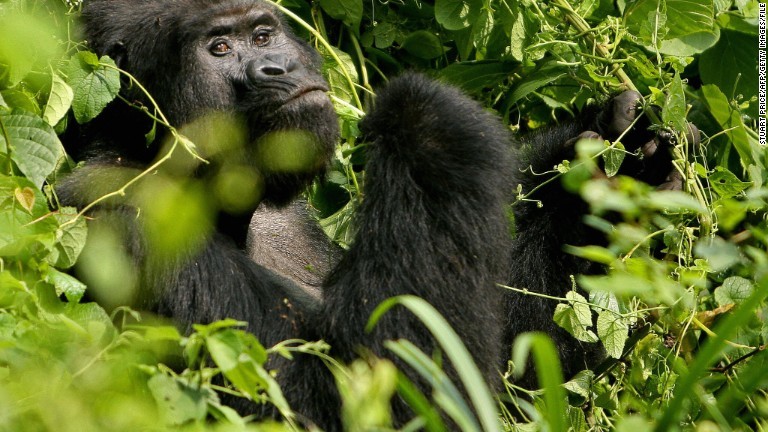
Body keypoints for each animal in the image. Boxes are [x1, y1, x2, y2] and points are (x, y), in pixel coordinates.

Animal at [55, 0, 688, 426]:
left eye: (262, 34)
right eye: (219, 49)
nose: (277, 69)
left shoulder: (289, 217)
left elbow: (520, 382)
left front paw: (601, 187)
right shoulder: (119, 212)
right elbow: (355, 393)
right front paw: (425, 118)